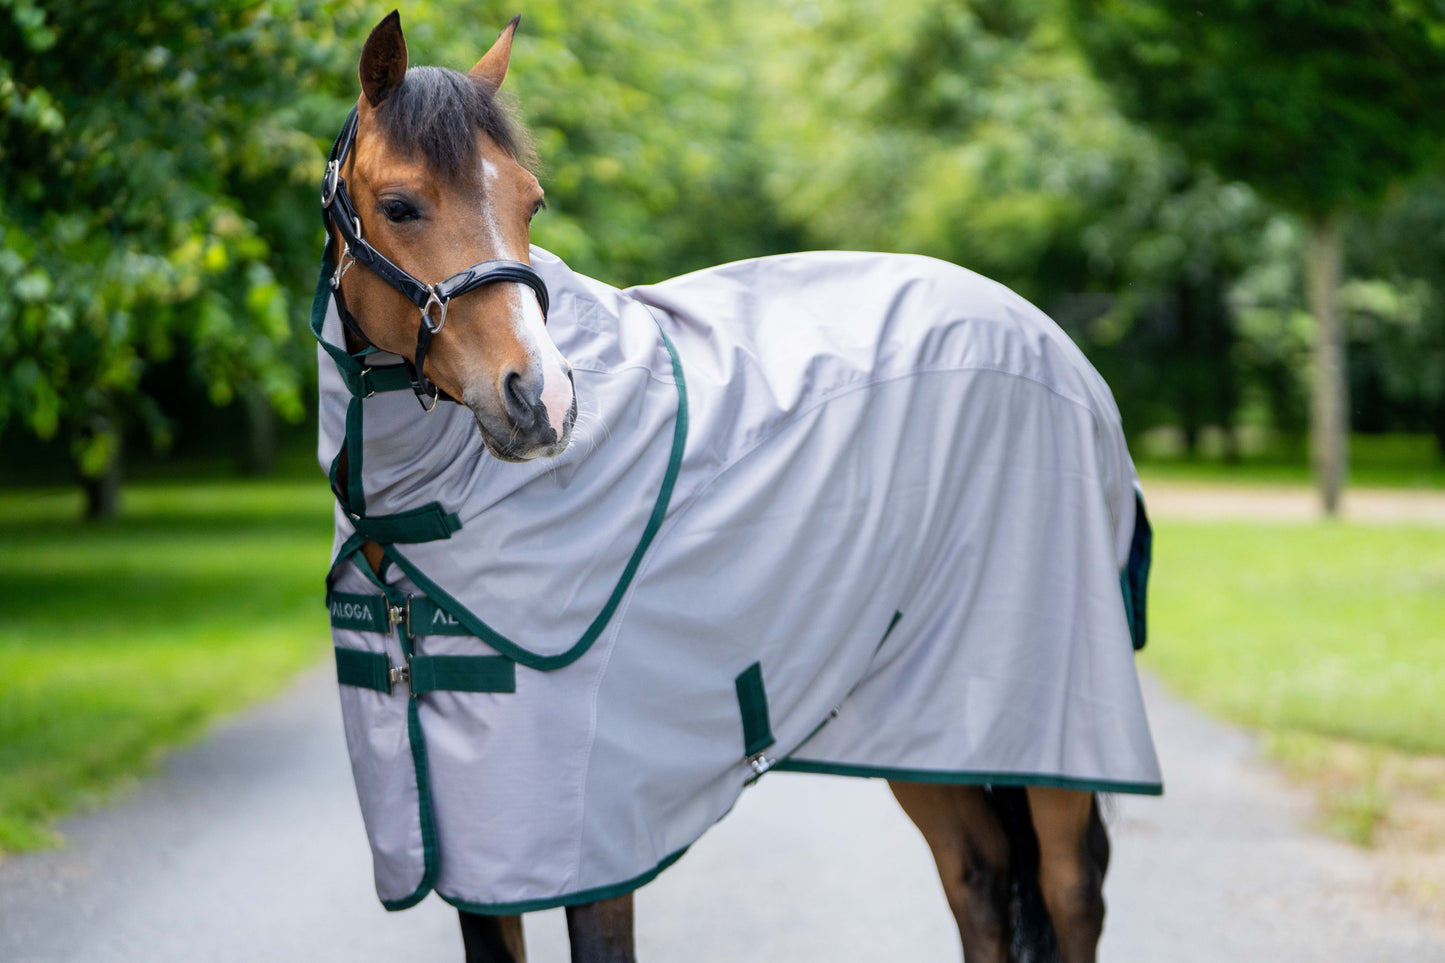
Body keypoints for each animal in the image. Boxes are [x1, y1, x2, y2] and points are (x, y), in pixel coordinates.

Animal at [314, 12, 1160, 963]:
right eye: (400, 206)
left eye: (531, 201)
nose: (542, 398)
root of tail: (1052, 344)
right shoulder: (476, 857)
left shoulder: (590, 843)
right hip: (919, 717)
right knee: (977, 879)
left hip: (1050, 720)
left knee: (1067, 891)